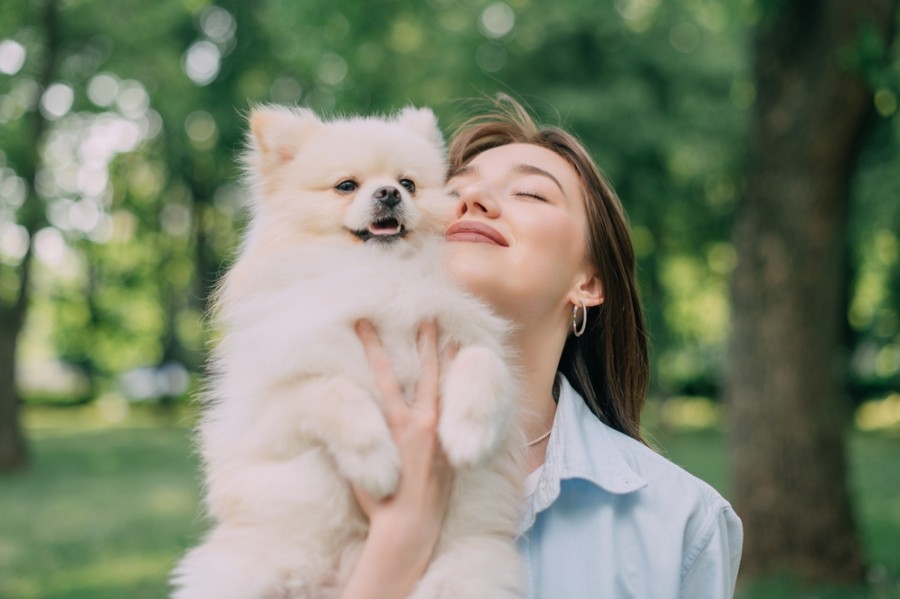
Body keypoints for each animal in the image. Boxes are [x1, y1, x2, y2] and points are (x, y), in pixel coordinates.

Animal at [169, 108, 524, 599]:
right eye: (346, 186)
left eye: (408, 183)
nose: (389, 193)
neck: (383, 274)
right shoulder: (273, 406)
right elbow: (332, 391)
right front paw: (375, 462)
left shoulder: (467, 338)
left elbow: (483, 361)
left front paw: (469, 433)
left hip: (465, 573)